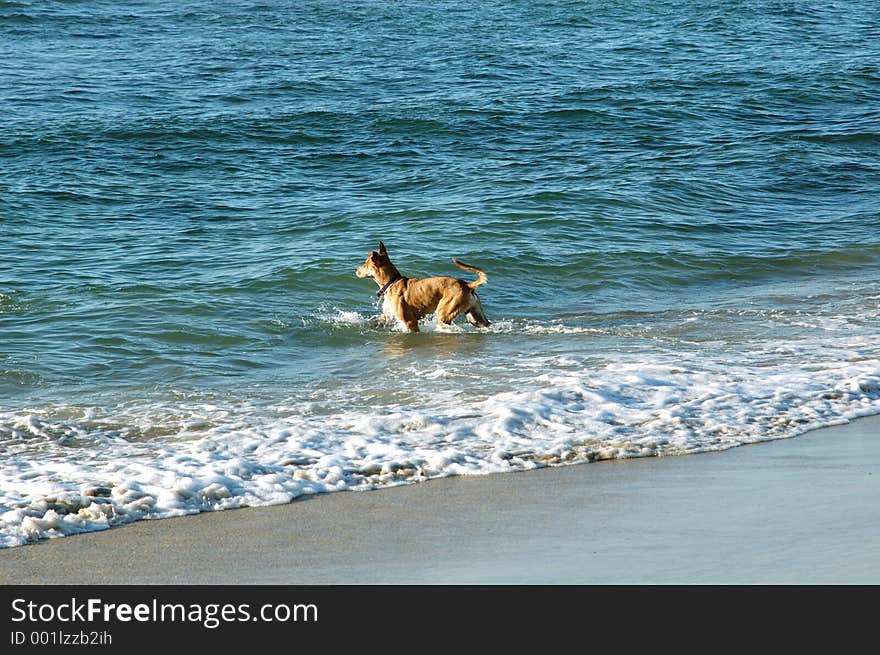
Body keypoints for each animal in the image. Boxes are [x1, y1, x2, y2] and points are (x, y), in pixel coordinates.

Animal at [358, 242, 496, 334]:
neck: (392, 282)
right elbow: (372, 321)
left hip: (444, 313)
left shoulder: (410, 322)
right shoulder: (387, 318)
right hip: (475, 316)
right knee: (486, 324)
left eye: (365, 264)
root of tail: (467, 285)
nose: (356, 270)